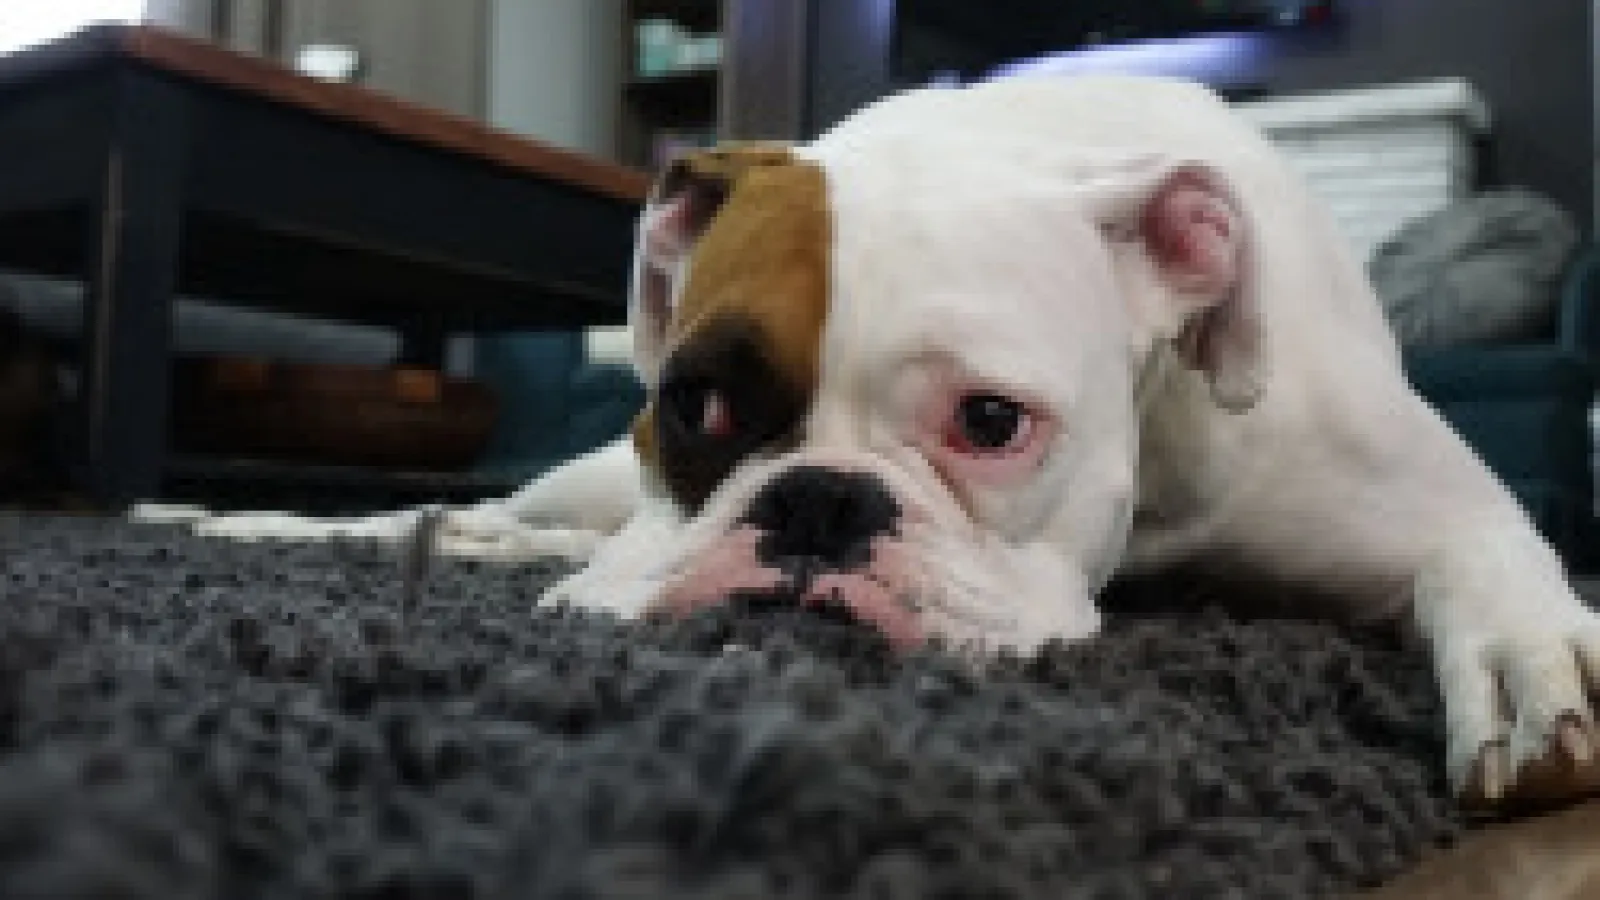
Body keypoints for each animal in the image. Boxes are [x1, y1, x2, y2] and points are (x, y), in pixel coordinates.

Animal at [150, 76, 1600, 800]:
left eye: (991, 423)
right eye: (697, 405)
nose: (821, 503)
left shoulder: (1437, 503)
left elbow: (1493, 559)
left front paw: (1533, 666)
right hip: (579, 487)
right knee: (481, 517)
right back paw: (243, 519)